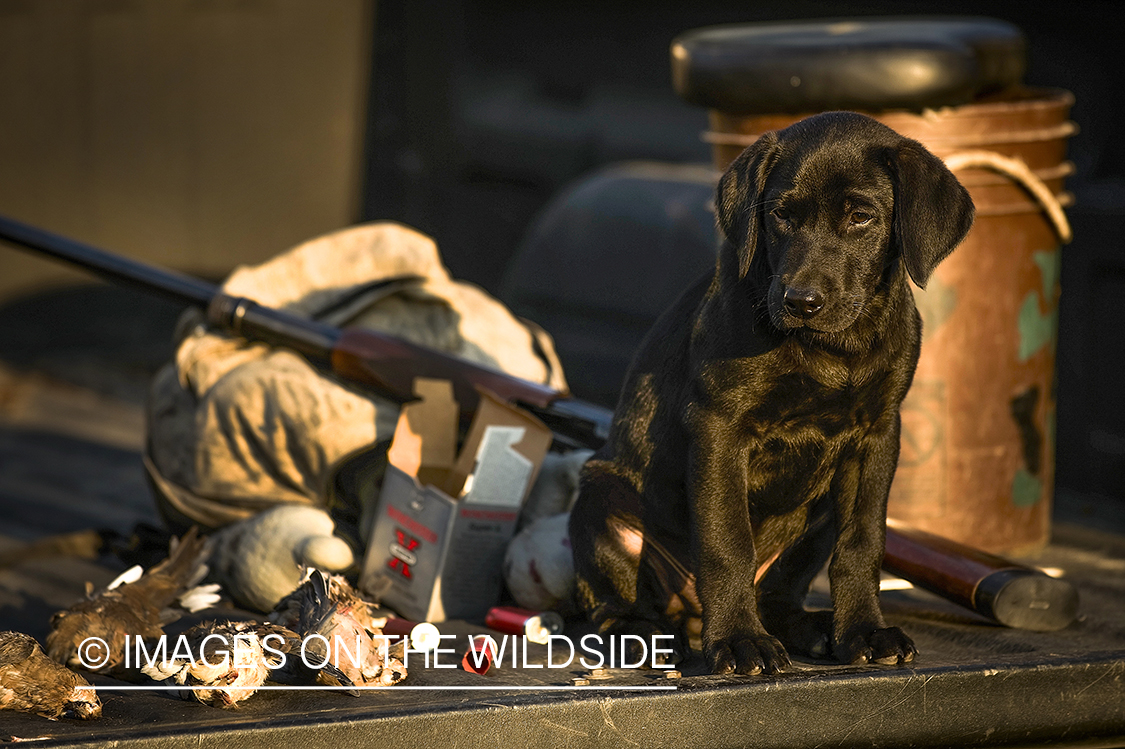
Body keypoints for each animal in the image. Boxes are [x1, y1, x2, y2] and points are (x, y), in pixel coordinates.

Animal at [571, 109, 976, 670]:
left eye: (861, 217)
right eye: (781, 216)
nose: (801, 300)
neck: (832, 349)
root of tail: (690, 614)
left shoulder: (876, 435)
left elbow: (862, 542)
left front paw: (864, 631)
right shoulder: (720, 428)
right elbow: (727, 542)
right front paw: (739, 640)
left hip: (818, 515)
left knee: (780, 597)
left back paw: (814, 628)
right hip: (600, 498)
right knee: (611, 606)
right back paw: (647, 635)